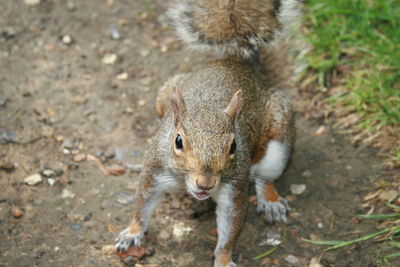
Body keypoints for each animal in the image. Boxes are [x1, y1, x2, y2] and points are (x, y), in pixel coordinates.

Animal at [115, 1, 300, 266]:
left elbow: (230, 225)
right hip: (164, 94)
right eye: (178, 141)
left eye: (234, 146)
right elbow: (143, 204)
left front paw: (223, 258)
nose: (205, 184)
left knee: (266, 177)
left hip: (279, 138)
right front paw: (132, 233)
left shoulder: (235, 185)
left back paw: (271, 201)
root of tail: (239, 63)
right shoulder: (155, 170)